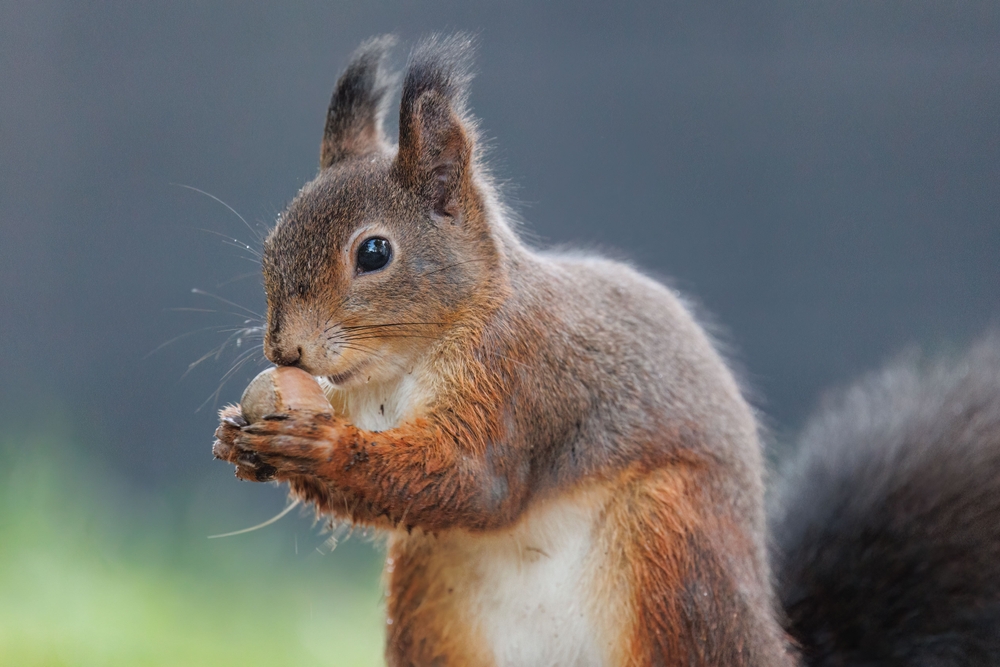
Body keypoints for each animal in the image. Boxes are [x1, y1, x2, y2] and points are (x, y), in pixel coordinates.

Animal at [212, 35, 1000, 666]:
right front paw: (237, 436)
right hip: (428, 595)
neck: (401, 367)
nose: (284, 345)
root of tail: (769, 641)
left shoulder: (522, 378)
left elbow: (472, 480)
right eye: (274, 239)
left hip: (670, 545)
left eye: (374, 253)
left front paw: (315, 444)